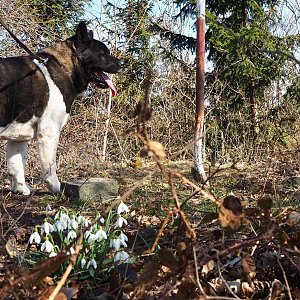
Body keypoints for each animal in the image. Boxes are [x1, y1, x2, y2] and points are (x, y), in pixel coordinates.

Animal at [0, 20, 122, 195]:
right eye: (103, 54)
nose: (122, 63)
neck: (62, 67)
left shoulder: (19, 134)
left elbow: (16, 165)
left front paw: (21, 188)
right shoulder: (49, 132)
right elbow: (50, 166)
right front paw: (56, 188)